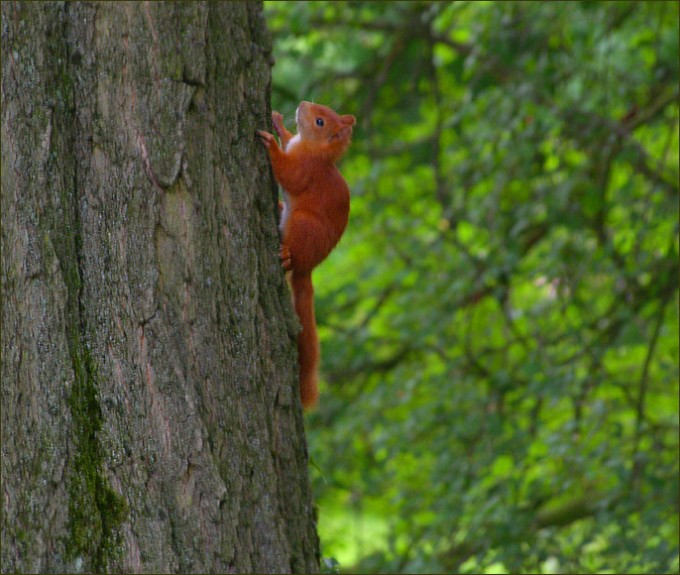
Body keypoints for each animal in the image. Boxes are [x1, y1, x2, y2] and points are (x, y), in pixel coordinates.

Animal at [258, 101, 356, 409]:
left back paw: (286, 254)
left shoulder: (306, 169)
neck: (314, 149)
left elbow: (289, 173)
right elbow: (288, 139)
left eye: (321, 122)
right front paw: (278, 124)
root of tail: (309, 266)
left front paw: (270, 144)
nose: (303, 104)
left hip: (302, 224)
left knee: (292, 256)